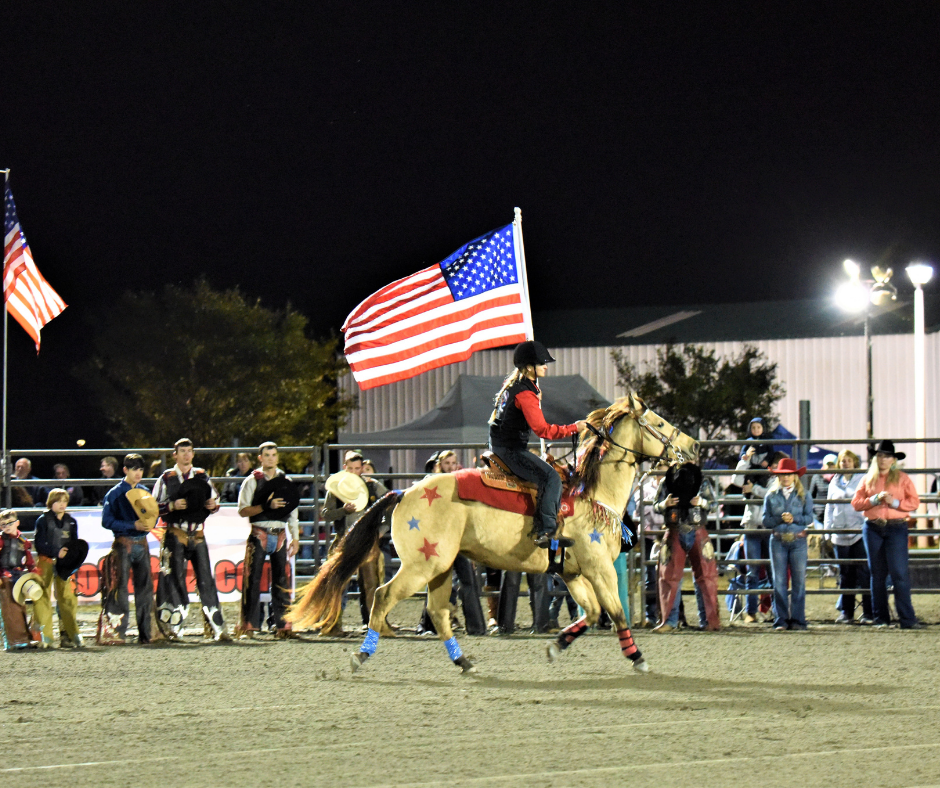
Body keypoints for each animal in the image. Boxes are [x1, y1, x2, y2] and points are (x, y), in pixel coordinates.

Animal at [286, 392, 696, 672]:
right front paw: (638, 658)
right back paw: (361, 656)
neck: (591, 494)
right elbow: (617, 613)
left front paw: (555, 646)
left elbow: (593, 614)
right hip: (420, 565)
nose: (692, 445)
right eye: (659, 423)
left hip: (439, 567)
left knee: (437, 612)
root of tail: (405, 492)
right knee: (384, 596)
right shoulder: (599, 569)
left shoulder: (574, 573)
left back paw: (463, 662)